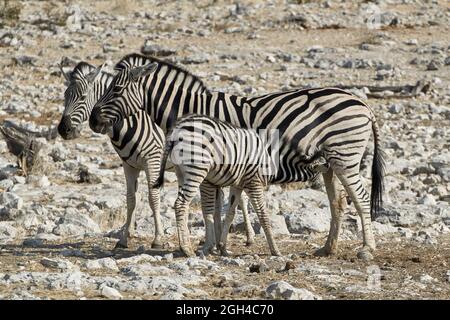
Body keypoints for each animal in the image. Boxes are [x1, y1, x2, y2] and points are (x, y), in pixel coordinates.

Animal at [153, 114, 328, 256]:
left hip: (182, 172)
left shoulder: (238, 184)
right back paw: (186, 249)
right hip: (197, 170)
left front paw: (223, 247)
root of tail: (176, 129)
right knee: (181, 204)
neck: (273, 159)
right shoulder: (254, 182)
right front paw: (275, 250)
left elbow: (230, 213)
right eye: (322, 173)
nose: (320, 189)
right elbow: (263, 215)